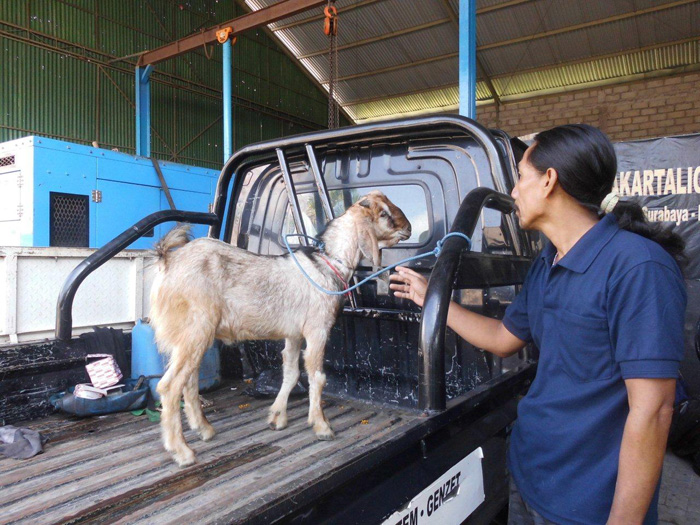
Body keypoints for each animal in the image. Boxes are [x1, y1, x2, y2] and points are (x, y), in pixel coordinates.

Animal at [149, 190, 410, 464]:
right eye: (383, 214)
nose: (409, 228)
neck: (328, 264)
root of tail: (167, 261)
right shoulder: (317, 330)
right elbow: (317, 376)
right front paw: (321, 426)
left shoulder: (294, 334)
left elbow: (291, 372)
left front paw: (277, 417)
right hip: (195, 330)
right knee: (169, 386)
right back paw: (181, 450)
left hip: (193, 337)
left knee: (189, 381)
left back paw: (204, 429)